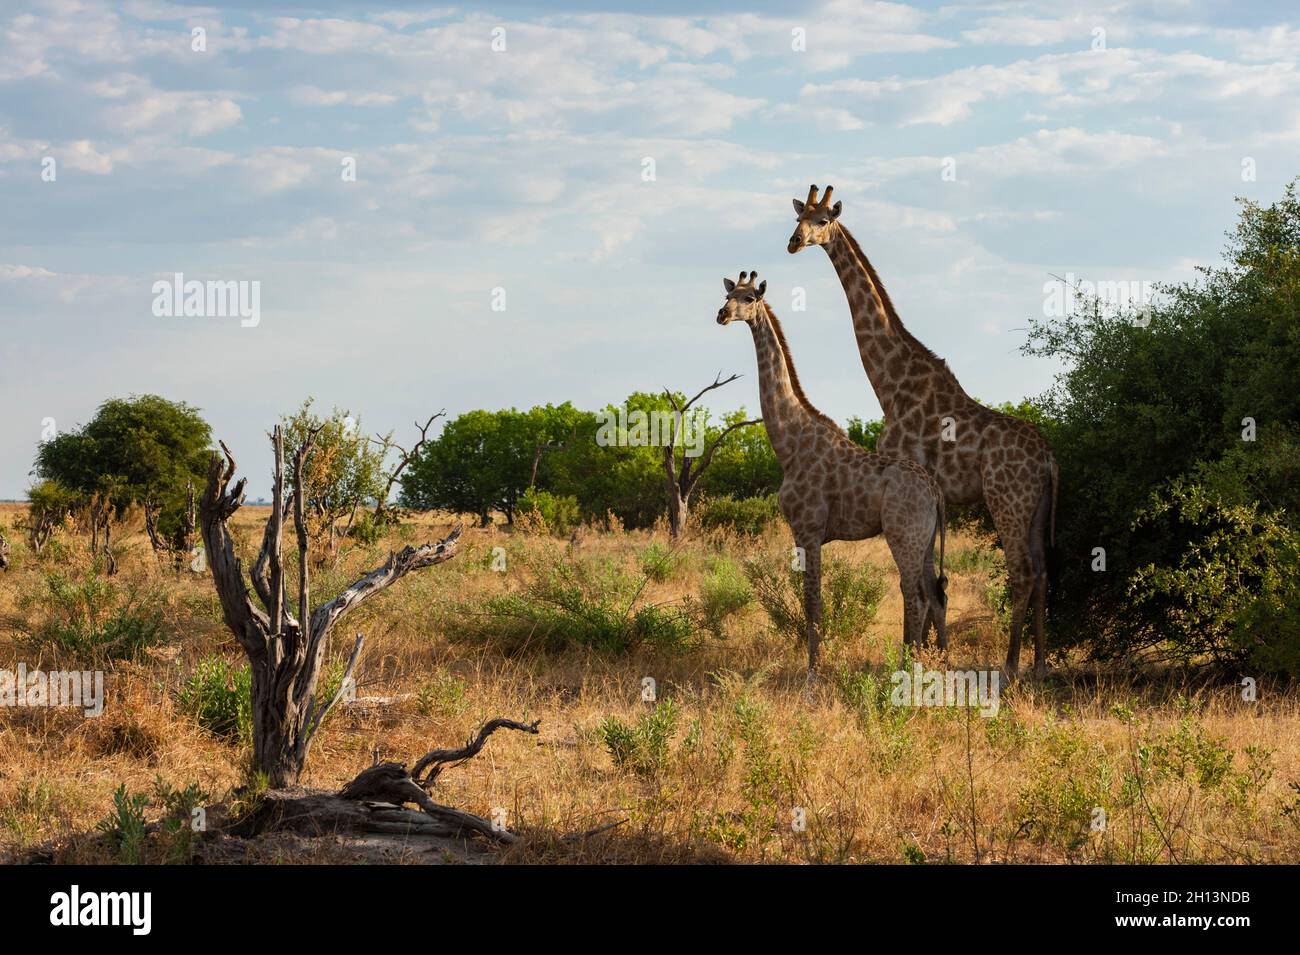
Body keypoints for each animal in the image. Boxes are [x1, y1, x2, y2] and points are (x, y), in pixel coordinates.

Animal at [717, 268, 951, 670]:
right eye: (730, 295)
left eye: (750, 299)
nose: (721, 314)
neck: (789, 442)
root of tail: (935, 491)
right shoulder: (804, 534)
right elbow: (812, 600)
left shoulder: (807, 529)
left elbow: (813, 602)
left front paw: (814, 671)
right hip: (925, 540)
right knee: (934, 596)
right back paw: (935, 664)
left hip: (903, 535)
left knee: (916, 596)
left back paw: (907, 667)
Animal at [790, 184, 1055, 680]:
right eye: (799, 217)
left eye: (823, 221)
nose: (794, 242)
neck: (890, 383)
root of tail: (1049, 458)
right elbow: (930, 583)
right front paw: (933, 654)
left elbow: (917, 583)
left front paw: (918, 656)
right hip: (1035, 507)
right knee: (1045, 571)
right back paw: (1041, 665)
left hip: (1006, 501)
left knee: (1022, 572)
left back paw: (1011, 665)